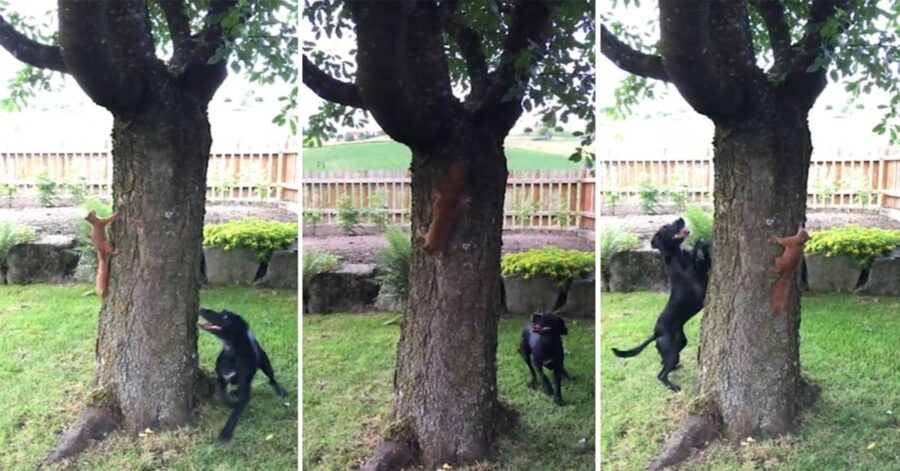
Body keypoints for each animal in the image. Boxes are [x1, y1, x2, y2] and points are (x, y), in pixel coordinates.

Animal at [199, 310, 286, 442]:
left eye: (225, 316)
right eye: (222, 312)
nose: (202, 309)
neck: (232, 352)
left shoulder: (244, 389)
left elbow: (235, 414)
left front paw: (225, 433)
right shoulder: (221, 378)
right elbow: (222, 396)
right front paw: (231, 403)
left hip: (266, 364)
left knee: (271, 379)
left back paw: (280, 390)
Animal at [612, 219, 712, 392]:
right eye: (665, 227)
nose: (680, 218)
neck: (675, 257)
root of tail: (656, 333)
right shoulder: (698, 273)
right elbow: (700, 254)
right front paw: (703, 243)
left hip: (679, 343)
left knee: (663, 363)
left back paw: (675, 369)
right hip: (671, 351)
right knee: (661, 375)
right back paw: (673, 386)